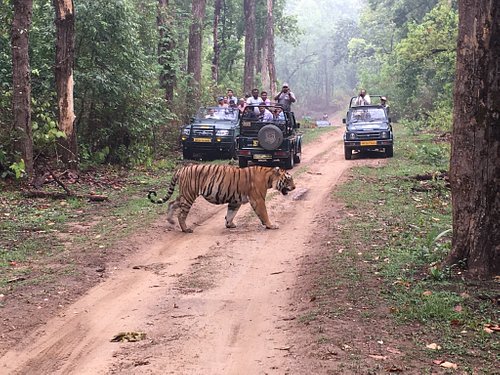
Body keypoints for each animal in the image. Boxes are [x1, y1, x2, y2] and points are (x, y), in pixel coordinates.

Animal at [146, 165, 294, 234]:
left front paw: (229, 224)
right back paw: (186, 229)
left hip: (184, 194)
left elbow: (231, 213)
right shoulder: (258, 200)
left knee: (172, 203)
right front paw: (271, 225)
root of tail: (182, 169)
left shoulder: (235, 201)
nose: (294, 187)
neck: (269, 177)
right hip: (189, 195)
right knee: (181, 214)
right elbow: (264, 214)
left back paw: (170, 221)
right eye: (288, 179)